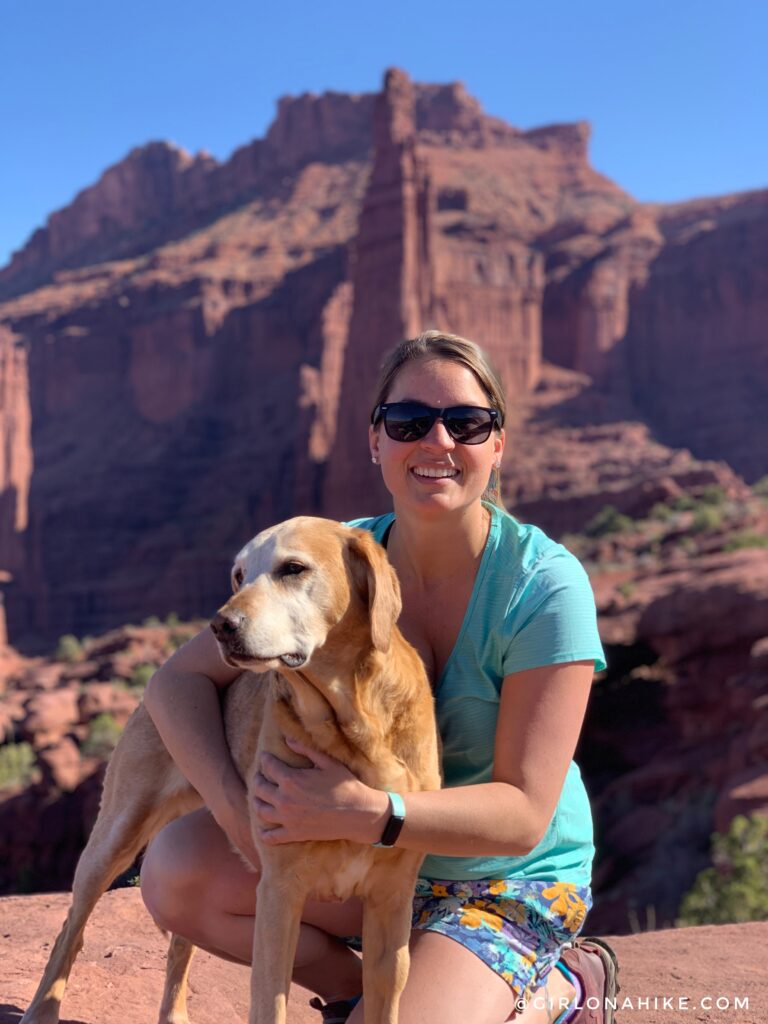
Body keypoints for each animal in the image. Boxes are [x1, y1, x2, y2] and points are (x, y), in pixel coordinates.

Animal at [20, 520, 442, 1024]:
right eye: (238, 575)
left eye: (293, 568)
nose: (220, 625)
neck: (355, 726)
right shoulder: (280, 896)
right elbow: (269, 1004)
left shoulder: (390, 909)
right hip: (113, 837)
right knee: (72, 928)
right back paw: (41, 1010)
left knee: (180, 942)